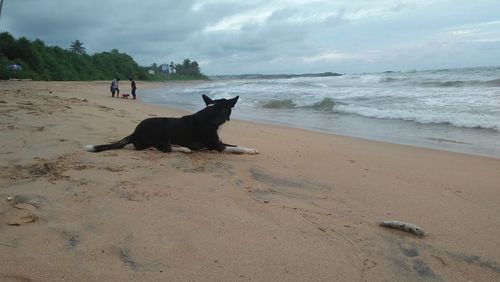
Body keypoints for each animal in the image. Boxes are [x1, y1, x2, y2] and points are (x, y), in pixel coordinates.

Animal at [84, 94, 258, 154]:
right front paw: (249, 151)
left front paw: (252, 148)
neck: (212, 114)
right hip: (164, 123)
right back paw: (181, 149)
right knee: (163, 148)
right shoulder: (216, 146)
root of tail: (134, 133)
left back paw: (182, 147)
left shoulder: (220, 142)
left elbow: (237, 144)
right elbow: (237, 148)